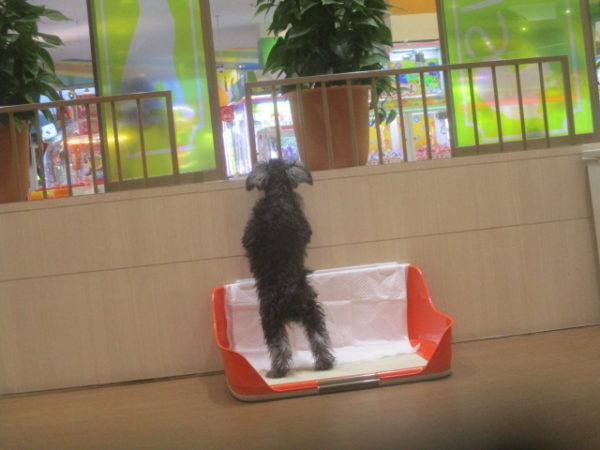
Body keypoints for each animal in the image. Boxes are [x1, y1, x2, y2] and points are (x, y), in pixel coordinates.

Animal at [242, 159, 335, 378]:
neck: (278, 194)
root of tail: (289, 293)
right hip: (308, 313)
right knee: (316, 338)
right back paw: (322, 364)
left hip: (271, 319)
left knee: (281, 346)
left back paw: (278, 370)